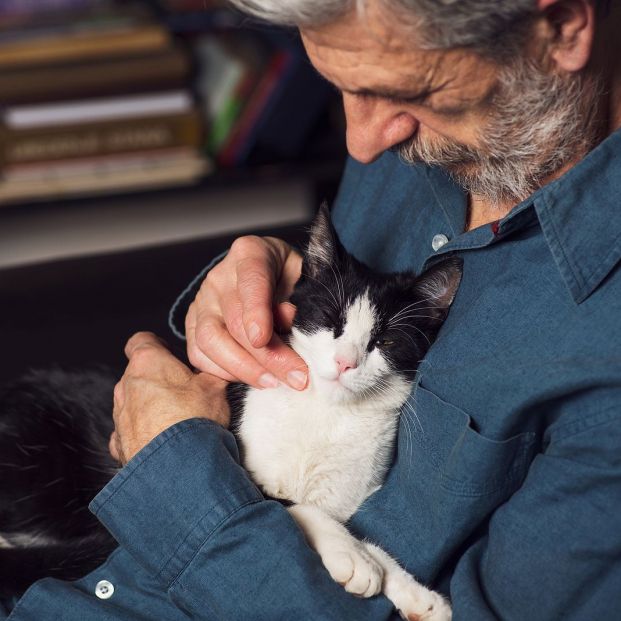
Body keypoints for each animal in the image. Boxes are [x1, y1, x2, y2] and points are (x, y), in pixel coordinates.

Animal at [0, 206, 458, 616]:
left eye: (386, 341)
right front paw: (355, 558)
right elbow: (276, 504)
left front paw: (416, 594)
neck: (325, 416)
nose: (346, 362)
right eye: (331, 320)